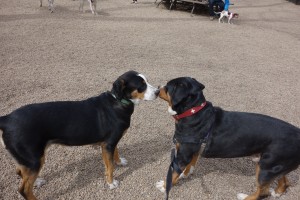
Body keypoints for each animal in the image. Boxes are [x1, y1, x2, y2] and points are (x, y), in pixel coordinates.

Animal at [0, 70, 159, 200]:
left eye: (147, 81)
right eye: (141, 85)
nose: (158, 91)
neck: (117, 102)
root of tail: (7, 118)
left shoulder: (110, 142)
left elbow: (116, 153)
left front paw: (119, 161)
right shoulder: (108, 144)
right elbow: (110, 167)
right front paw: (111, 183)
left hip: (29, 159)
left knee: (20, 171)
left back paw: (38, 180)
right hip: (33, 159)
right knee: (24, 190)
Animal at [156, 77, 300, 200]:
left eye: (168, 87)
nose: (157, 89)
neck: (193, 112)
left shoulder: (183, 155)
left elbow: (174, 173)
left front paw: (164, 186)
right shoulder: (193, 151)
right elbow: (188, 166)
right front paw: (185, 175)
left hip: (266, 167)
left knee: (262, 192)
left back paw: (244, 197)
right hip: (278, 165)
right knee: (284, 181)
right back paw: (277, 192)